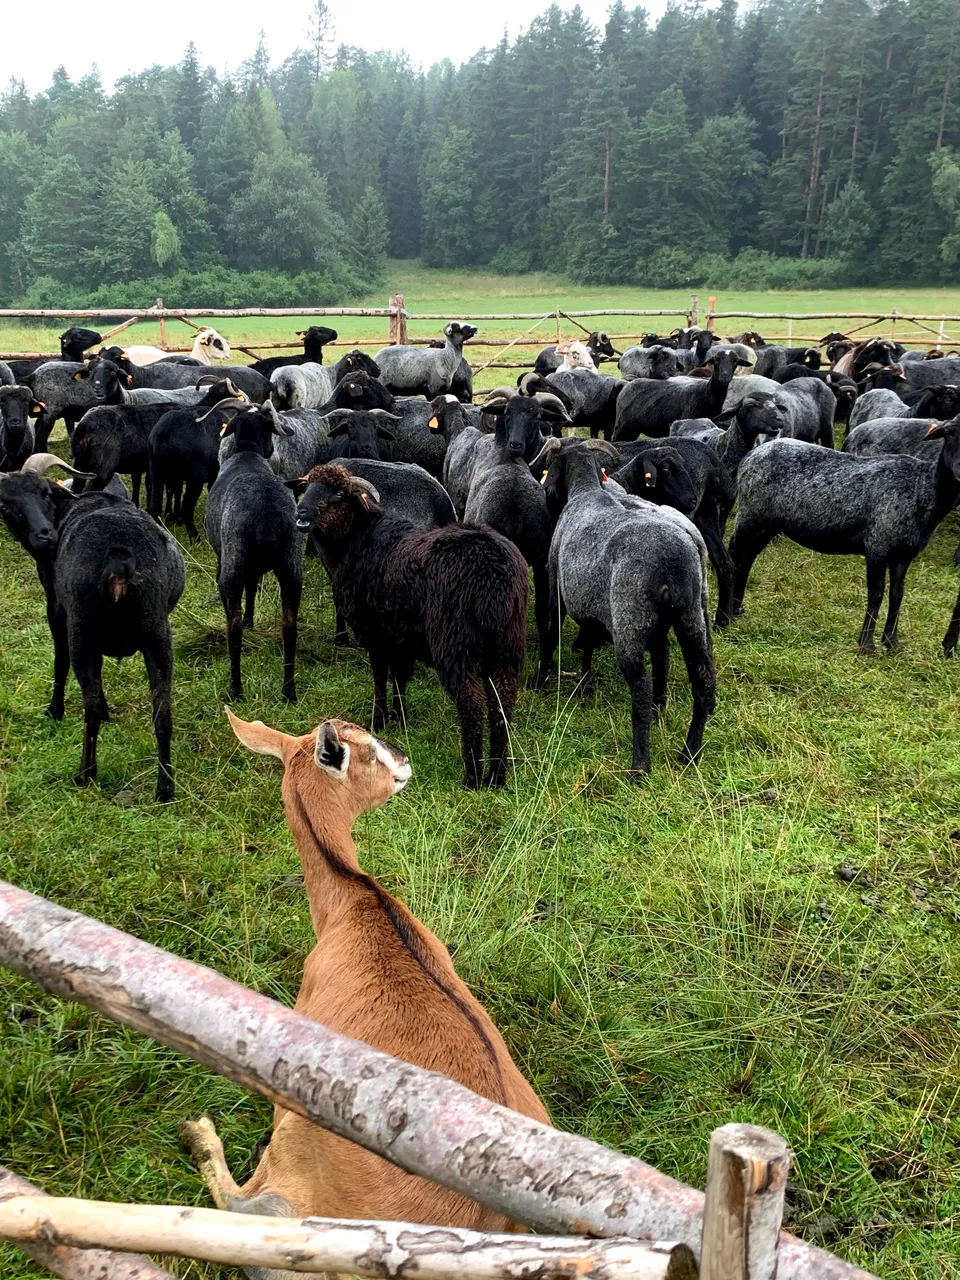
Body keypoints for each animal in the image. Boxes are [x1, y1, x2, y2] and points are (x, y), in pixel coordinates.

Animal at [184, 716, 552, 1264]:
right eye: (367, 751)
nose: (405, 760)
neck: (358, 901)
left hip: (300, 1147)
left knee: (247, 1208)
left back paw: (200, 1137)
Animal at [296, 465, 529, 783]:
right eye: (307, 485)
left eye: (340, 494)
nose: (301, 512)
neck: (356, 540)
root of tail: (494, 576)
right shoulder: (401, 638)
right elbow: (400, 677)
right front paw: (401, 716)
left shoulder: (375, 633)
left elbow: (380, 676)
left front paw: (379, 719)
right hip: (508, 645)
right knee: (502, 705)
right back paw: (497, 775)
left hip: (456, 645)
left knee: (471, 705)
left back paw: (472, 776)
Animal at [732, 424, 960, 650]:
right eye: (950, 433)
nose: (959, 471)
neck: (922, 488)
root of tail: (751, 455)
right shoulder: (878, 544)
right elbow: (876, 592)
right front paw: (866, 644)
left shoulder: (904, 553)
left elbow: (897, 593)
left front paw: (892, 642)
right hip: (752, 516)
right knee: (736, 556)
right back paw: (731, 609)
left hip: (766, 525)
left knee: (746, 559)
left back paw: (738, 608)